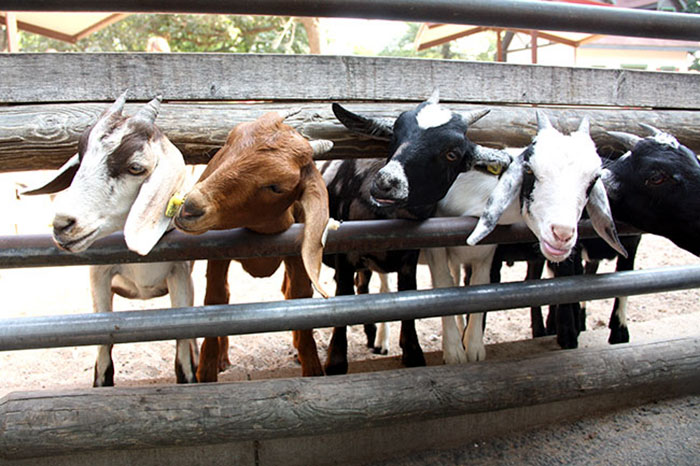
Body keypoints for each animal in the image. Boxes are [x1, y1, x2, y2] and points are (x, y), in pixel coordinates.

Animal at [24, 92, 197, 387]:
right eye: (81, 158)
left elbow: (184, 359)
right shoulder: (99, 276)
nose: (63, 225)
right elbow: (103, 355)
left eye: (136, 167)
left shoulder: (180, 275)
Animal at [173, 109, 334, 381]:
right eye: (230, 140)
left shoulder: (296, 255)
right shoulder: (217, 254)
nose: (191, 207)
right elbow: (215, 297)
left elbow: (300, 296)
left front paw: (311, 366)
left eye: (276, 186)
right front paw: (207, 370)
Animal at [322, 89, 507, 374]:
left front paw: (412, 353)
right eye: (395, 135)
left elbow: (407, 298)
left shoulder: (409, 257)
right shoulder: (343, 253)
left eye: (452, 154)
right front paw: (335, 362)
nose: (386, 182)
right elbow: (342, 298)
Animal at [424, 111, 628, 362]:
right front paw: (454, 352)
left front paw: (473, 348)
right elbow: (443, 283)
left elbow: (478, 286)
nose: (562, 234)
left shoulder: (485, 252)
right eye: (529, 170)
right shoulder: (435, 246)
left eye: (592, 180)